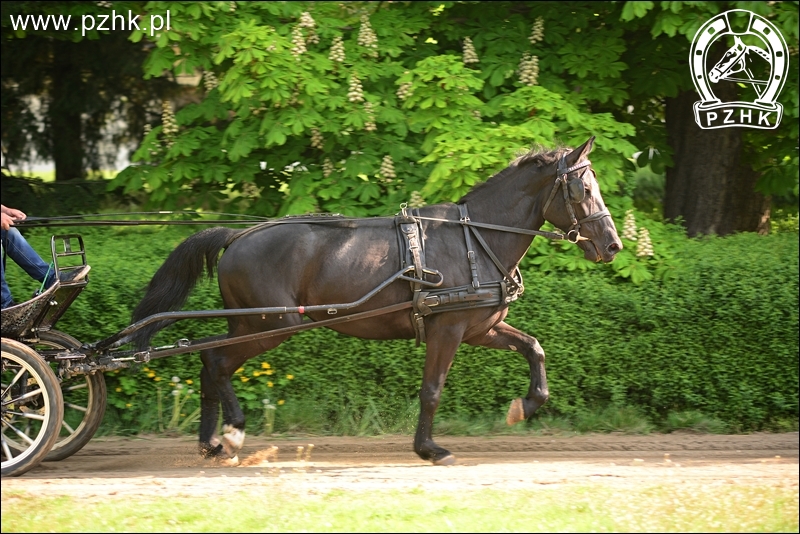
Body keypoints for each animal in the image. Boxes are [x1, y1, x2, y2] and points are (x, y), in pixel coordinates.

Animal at [131, 137, 620, 464]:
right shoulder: (447, 328)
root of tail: (237, 236)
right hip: (270, 325)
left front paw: (525, 406)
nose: (612, 245)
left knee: (208, 362)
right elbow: (432, 389)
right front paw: (429, 449)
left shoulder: (480, 327)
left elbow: (534, 348)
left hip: (248, 324)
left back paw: (210, 443)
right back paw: (230, 436)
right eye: (582, 190)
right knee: (216, 363)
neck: (475, 238)